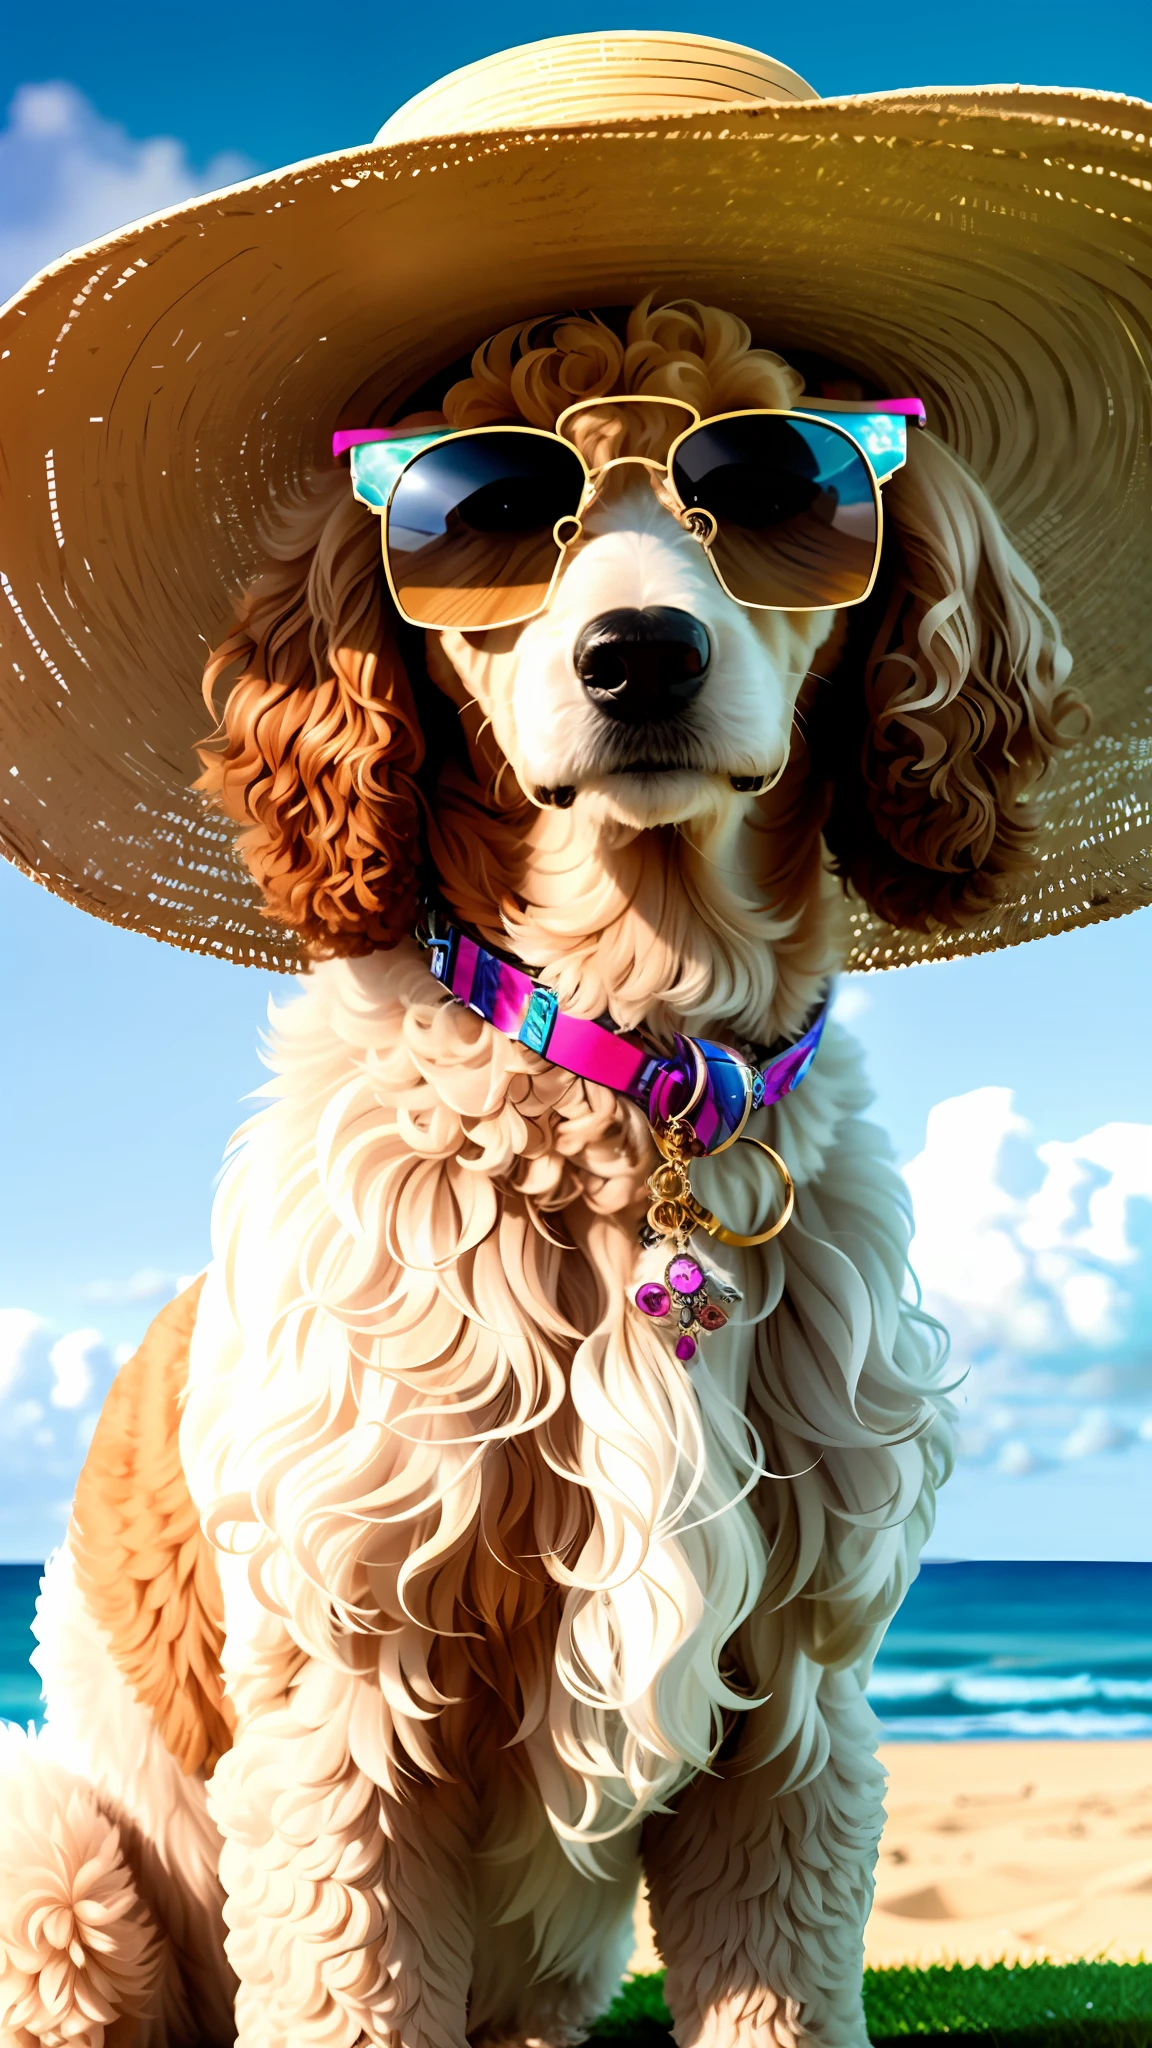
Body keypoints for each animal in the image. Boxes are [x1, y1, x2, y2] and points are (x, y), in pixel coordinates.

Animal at [0, 296, 1074, 2048]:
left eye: (776, 476)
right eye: (491, 501)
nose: (640, 655)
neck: (629, 1090)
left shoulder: (799, 1699)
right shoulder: (345, 1698)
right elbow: (353, 1994)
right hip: (54, 1868)